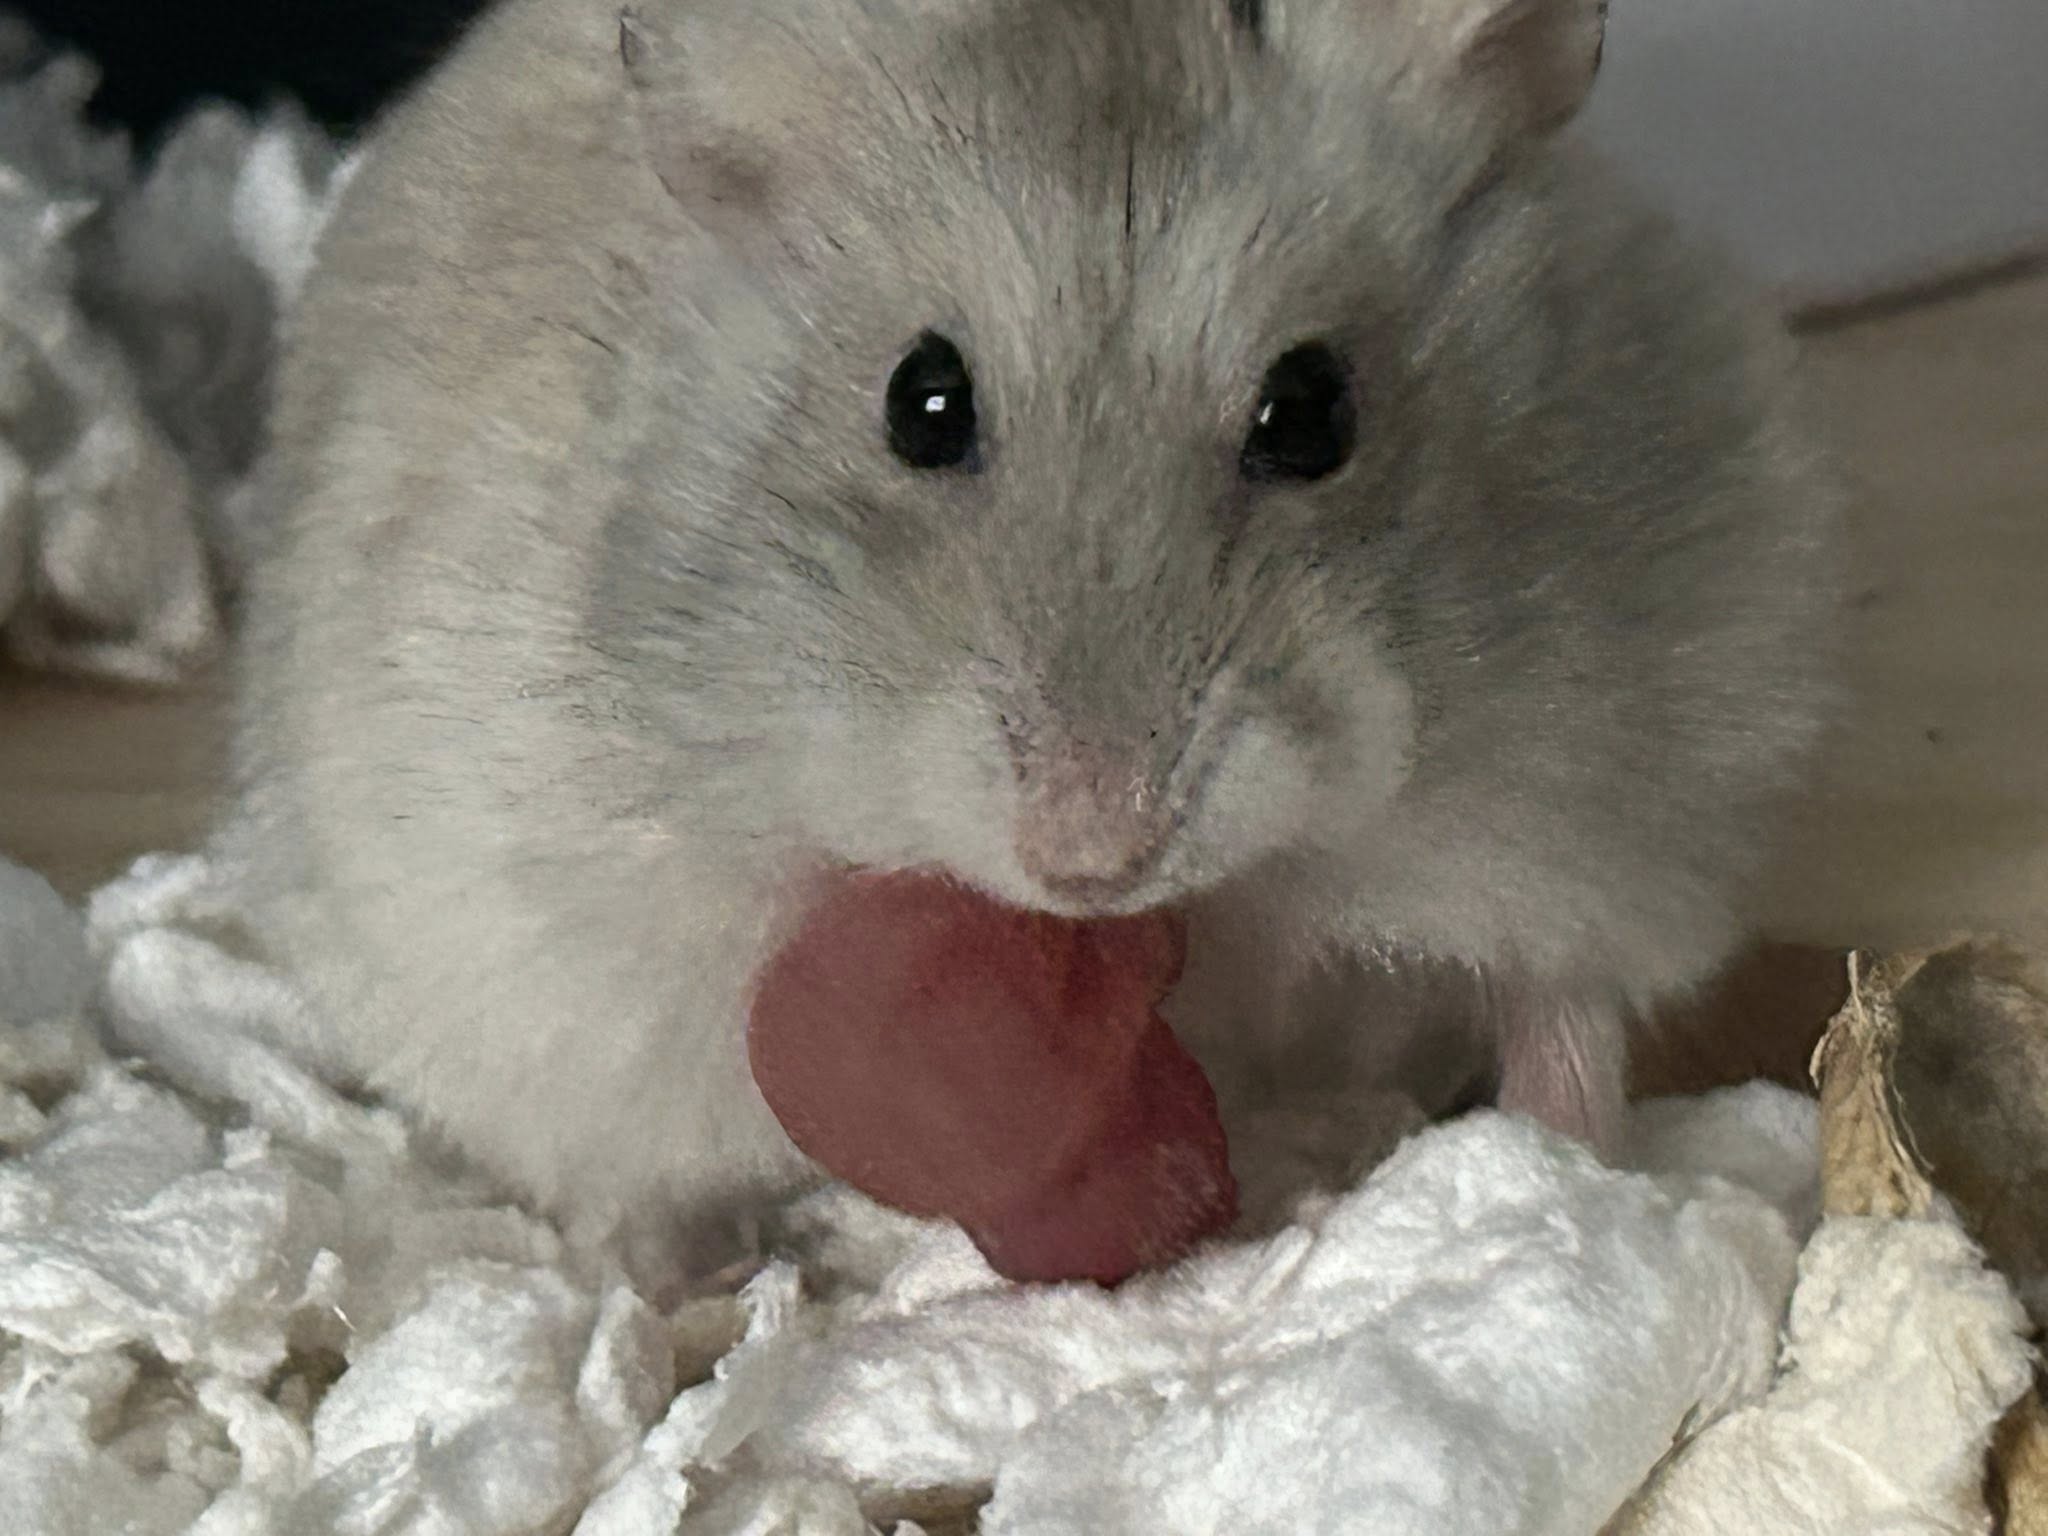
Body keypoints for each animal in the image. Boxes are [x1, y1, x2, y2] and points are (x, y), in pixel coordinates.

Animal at [222, 0, 1842, 1246]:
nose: (1089, 860)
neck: (1238, 889)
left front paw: (1563, 1180)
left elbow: (1562, 1014)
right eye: (920, 403)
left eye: (1312, 413)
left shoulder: (1623, 792)